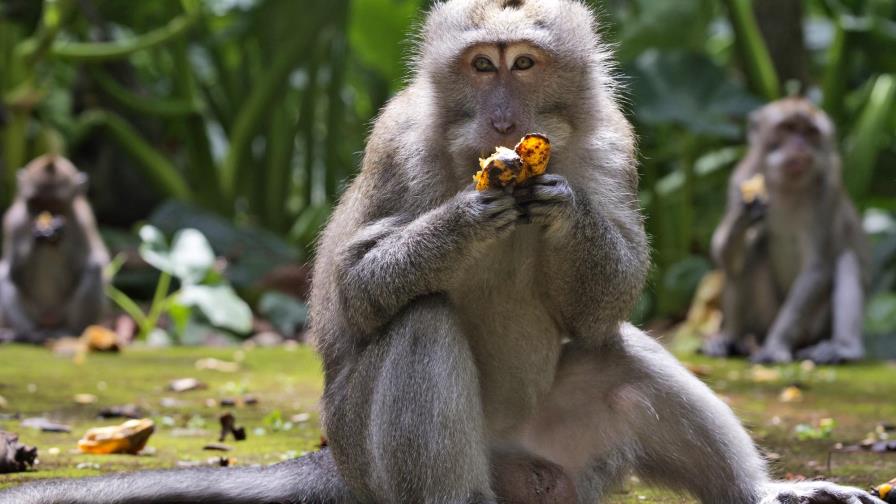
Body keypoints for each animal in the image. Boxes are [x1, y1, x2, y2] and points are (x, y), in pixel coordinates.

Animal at [0, 155, 109, 343]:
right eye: (36, 202)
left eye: (56, 204)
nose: (45, 214)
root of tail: (48, 320)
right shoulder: (14, 221)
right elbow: (14, 273)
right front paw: (38, 236)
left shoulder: (83, 221)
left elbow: (87, 264)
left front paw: (57, 234)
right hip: (34, 312)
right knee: (4, 274)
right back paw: (25, 333)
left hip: (62, 313)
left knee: (93, 268)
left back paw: (70, 332)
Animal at [703, 98, 870, 365]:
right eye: (788, 128)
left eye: (810, 132)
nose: (800, 146)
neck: (786, 186)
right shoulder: (740, 177)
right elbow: (723, 255)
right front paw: (745, 213)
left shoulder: (828, 190)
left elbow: (816, 268)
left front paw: (775, 346)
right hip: (763, 319)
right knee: (750, 252)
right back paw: (731, 339)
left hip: (813, 329)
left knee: (847, 259)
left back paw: (844, 347)